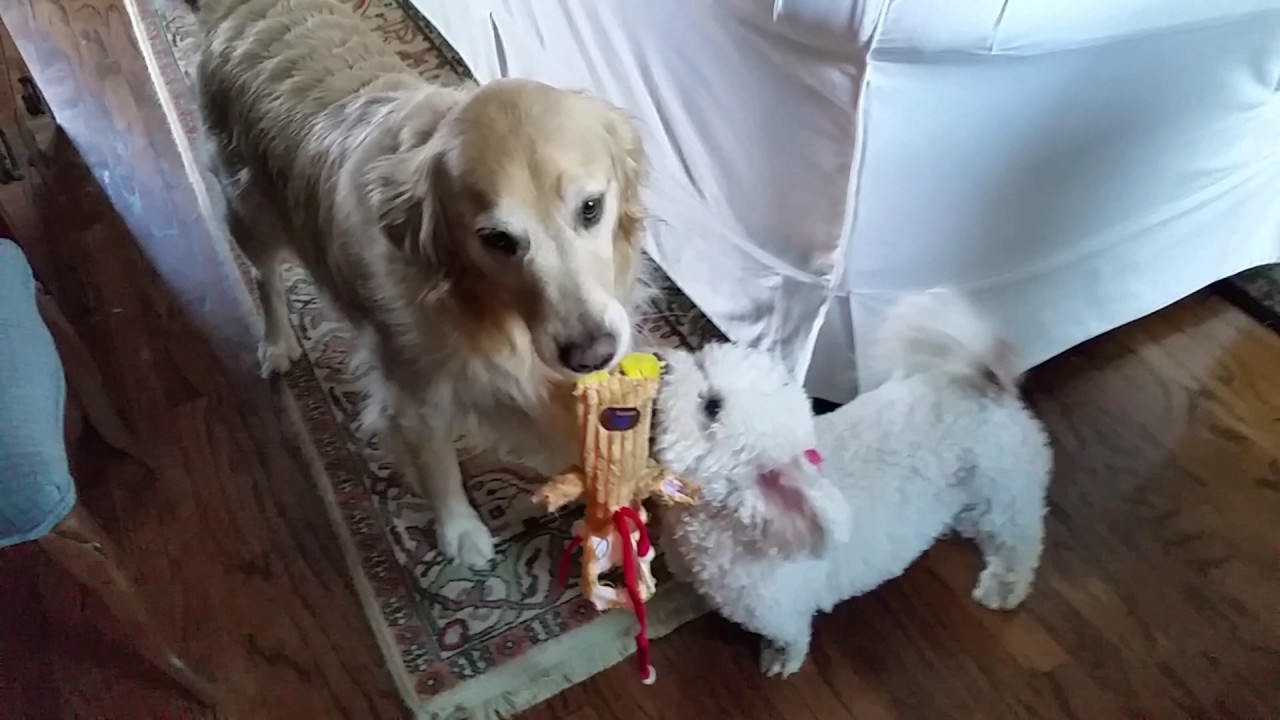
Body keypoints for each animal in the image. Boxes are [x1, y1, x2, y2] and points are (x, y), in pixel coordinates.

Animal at [655, 288, 1054, 676]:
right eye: (702, 358)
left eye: (712, 407)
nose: (660, 361)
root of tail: (982, 383)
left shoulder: (779, 612)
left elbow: (792, 638)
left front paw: (781, 661)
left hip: (1002, 491)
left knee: (1020, 540)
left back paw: (1004, 587)